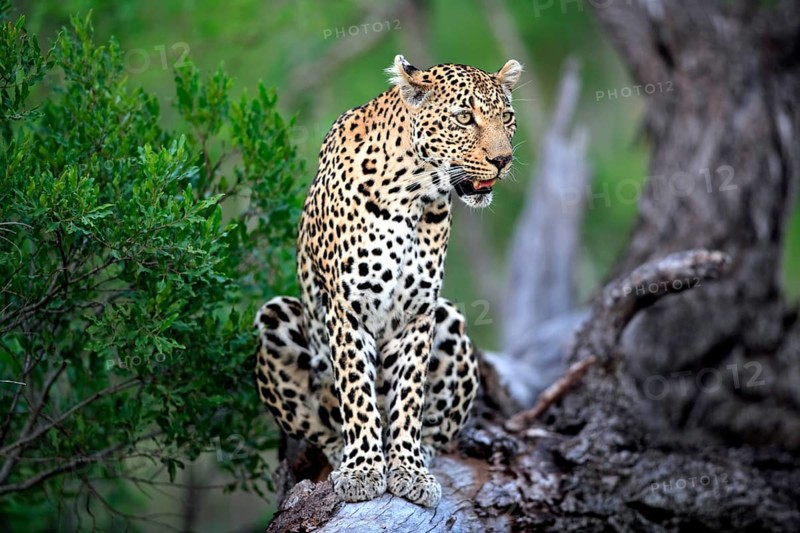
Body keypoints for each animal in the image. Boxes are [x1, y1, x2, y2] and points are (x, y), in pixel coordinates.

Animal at [254, 55, 521, 508]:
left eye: (507, 118)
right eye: (464, 118)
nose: (502, 160)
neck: (415, 191)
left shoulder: (418, 313)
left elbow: (409, 396)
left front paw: (409, 469)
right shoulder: (348, 309)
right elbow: (357, 392)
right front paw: (362, 470)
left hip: (450, 320)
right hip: (276, 317)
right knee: (322, 426)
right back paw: (343, 453)